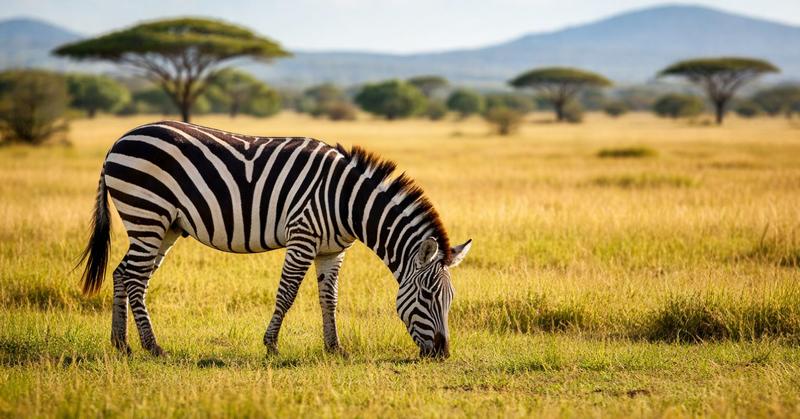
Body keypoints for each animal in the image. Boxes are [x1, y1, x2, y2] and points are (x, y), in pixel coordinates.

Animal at [77, 121, 472, 358]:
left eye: (450, 299)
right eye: (426, 296)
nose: (442, 354)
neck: (346, 201)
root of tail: (120, 138)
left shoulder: (332, 251)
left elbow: (329, 298)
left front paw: (334, 348)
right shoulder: (303, 236)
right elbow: (288, 292)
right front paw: (271, 346)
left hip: (164, 225)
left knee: (123, 274)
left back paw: (121, 344)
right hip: (147, 214)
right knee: (135, 278)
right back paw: (152, 346)